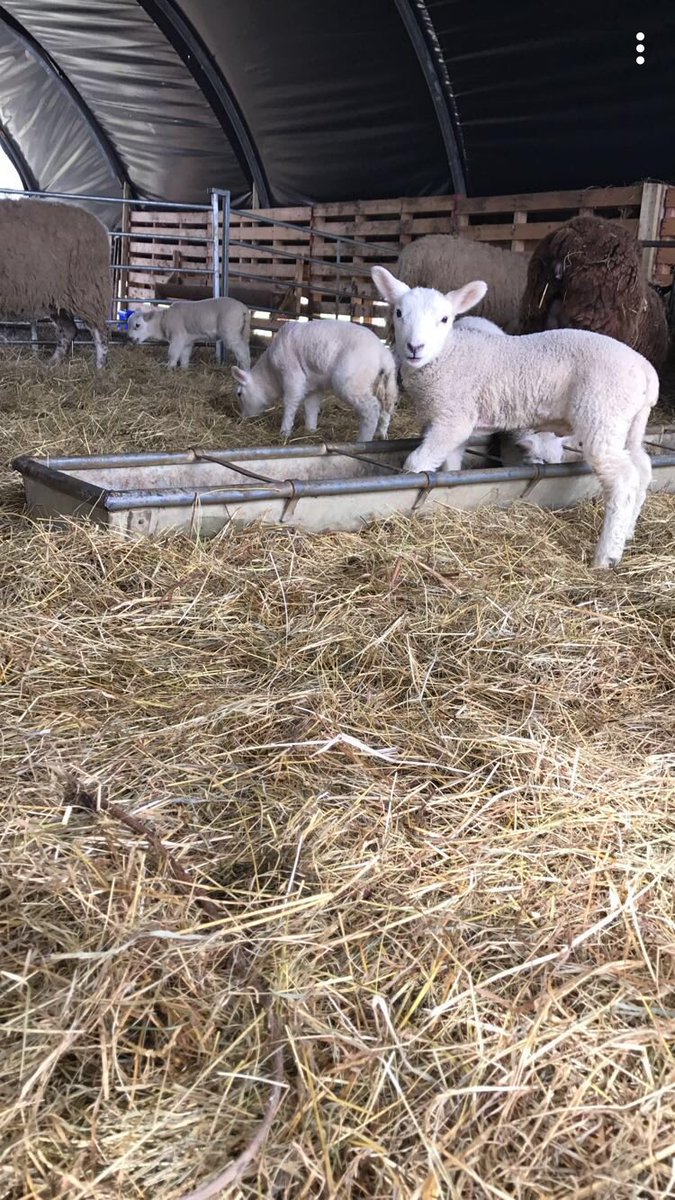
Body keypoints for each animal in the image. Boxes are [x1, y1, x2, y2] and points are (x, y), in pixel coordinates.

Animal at [0, 198, 111, 367]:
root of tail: (100, 225)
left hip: (88, 290)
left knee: (100, 332)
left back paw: (99, 367)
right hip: (57, 299)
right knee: (70, 330)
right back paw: (52, 363)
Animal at [231, 318, 398, 441]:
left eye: (239, 394)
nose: (242, 419)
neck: (271, 375)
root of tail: (383, 355)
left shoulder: (293, 376)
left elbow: (290, 403)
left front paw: (284, 432)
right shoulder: (314, 385)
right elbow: (311, 407)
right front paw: (310, 430)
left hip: (351, 383)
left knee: (372, 410)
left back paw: (363, 439)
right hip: (383, 384)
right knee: (385, 407)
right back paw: (381, 433)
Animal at [371, 265, 658, 568]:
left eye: (444, 319)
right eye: (399, 312)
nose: (415, 347)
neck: (448, 355)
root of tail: (646, 370)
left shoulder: (452, 419)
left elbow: (417, 462)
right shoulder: (456, 418)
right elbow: (451, 464)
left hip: (602, 412)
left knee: (623, 481)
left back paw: (606, 556)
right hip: (628, 421)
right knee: (642, 467)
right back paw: (628, 532)